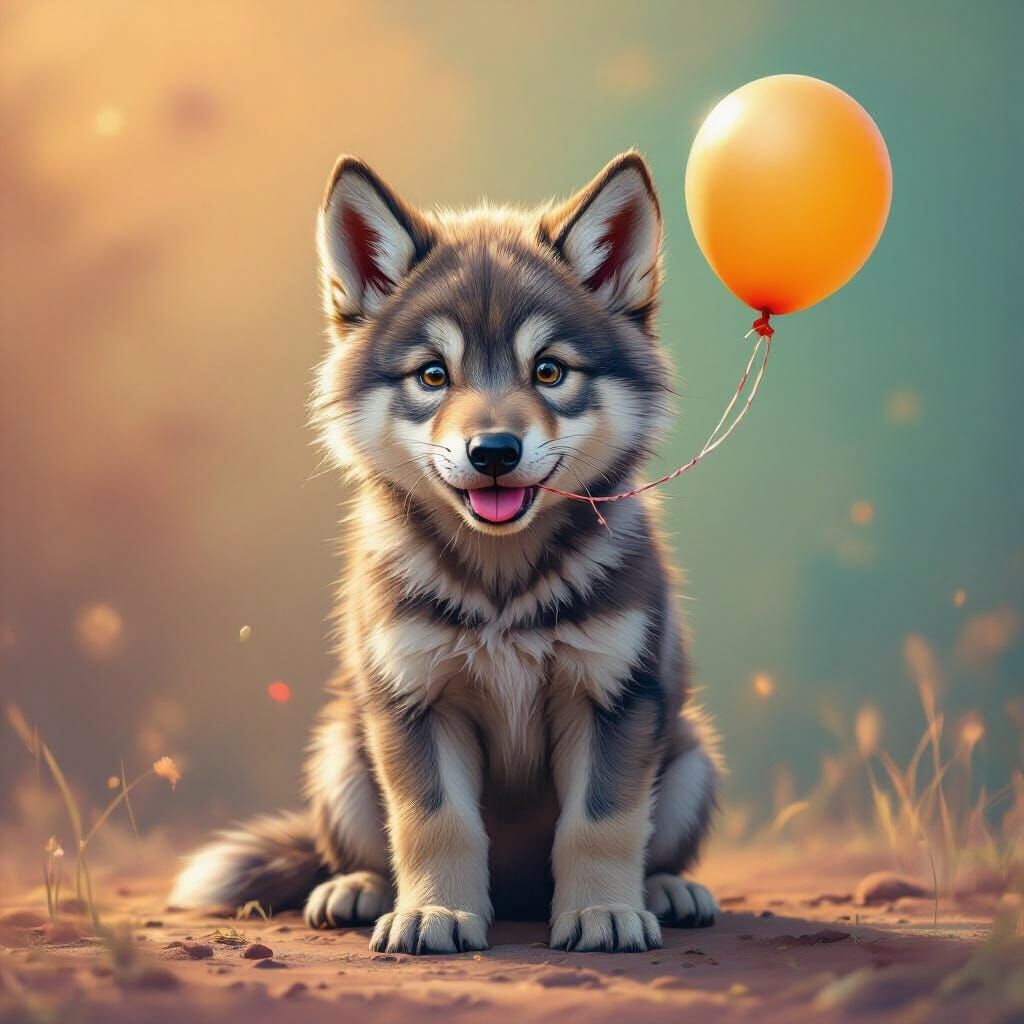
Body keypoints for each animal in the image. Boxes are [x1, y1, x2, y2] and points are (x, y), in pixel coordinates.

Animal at [170, 151, 721, 954]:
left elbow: (602, 825)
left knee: (656, 841)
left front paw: (603, 913)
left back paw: (666, 890)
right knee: (362, 848)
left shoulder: (614, 696)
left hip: (689, 757)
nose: (493, 452)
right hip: (342, 753)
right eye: (433, 375)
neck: (502, 585)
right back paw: (359, 889)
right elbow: (433, 822)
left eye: (549, 370)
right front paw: (434, 914)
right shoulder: (412, 699)